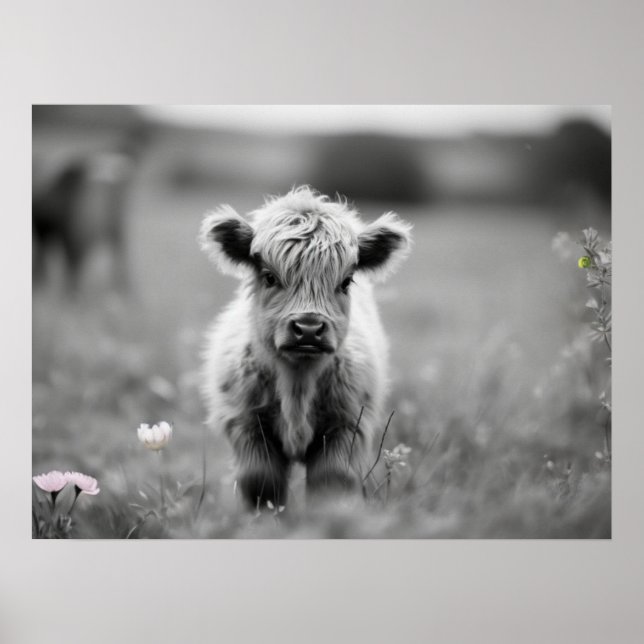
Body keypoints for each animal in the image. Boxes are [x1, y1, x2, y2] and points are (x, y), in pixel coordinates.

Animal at [199, 186, 412, 509]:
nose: (309, 328)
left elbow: (331, 481)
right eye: (269, 277)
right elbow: (262, 483)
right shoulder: (245, 424)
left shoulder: (347, 425)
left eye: (346, 281)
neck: (297, 385)